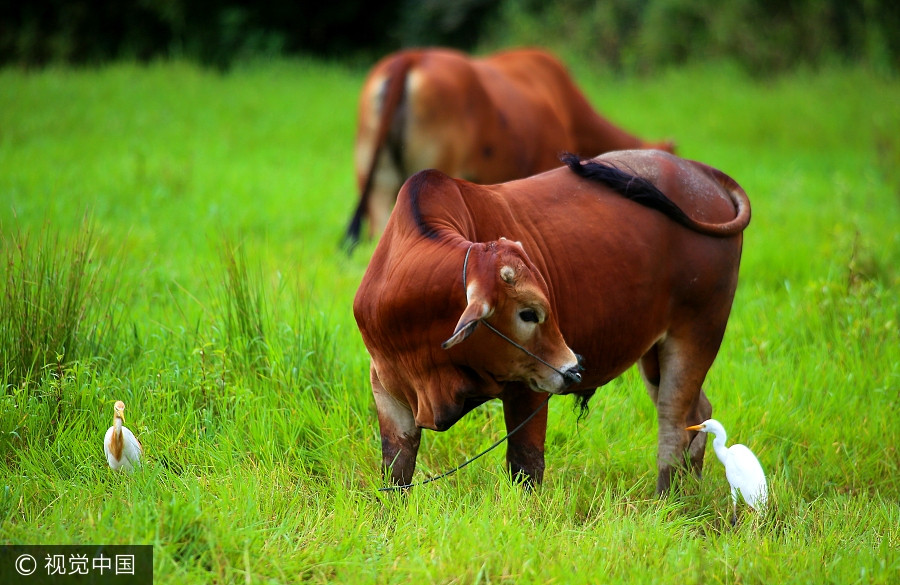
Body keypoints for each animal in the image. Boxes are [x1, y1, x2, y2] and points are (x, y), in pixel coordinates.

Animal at [356, 149, 748, 492]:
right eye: (528, 313)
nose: (574, 369)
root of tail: (699, 171)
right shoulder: (386, 392)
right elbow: (396, 472)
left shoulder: (529, 387)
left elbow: (526, 466)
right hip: (653, 353)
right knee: (698, 415)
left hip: (696, 333)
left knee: (673, 424)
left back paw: (665, 500)